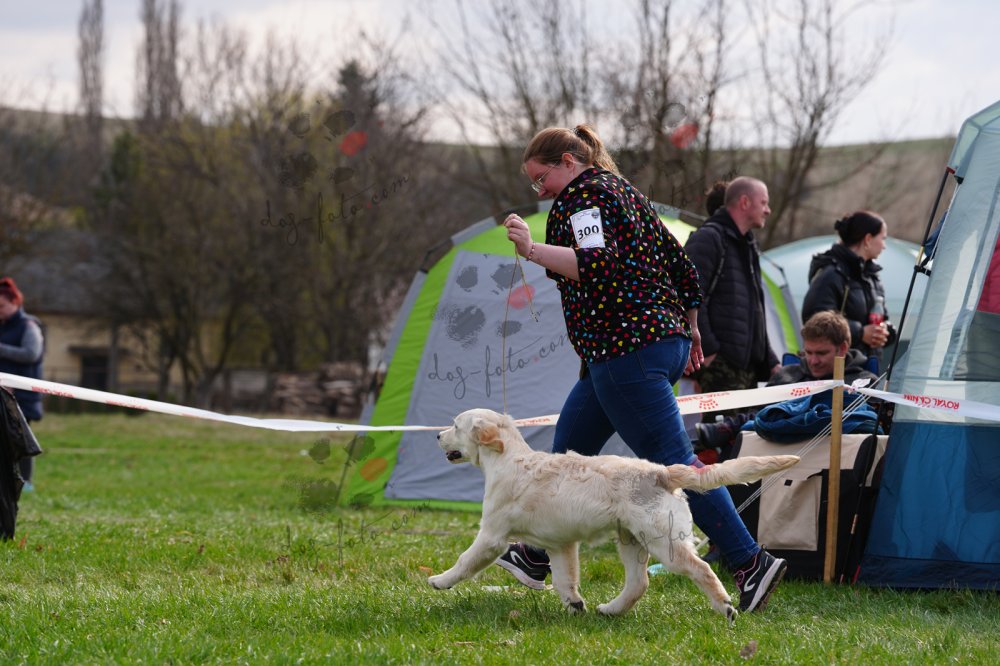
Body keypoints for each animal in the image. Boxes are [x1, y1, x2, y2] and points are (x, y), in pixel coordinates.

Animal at [427, 408, 799, 622]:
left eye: (455, 425)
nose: (437, 435)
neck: (507, 459)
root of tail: (661, 472)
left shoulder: (492, 534)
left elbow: (465, 560)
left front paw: (440, 580)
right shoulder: (561, 544)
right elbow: (564, 579)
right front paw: (575, 606)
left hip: (663, 542)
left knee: (701, 569)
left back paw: (726, 607)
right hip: (631, 539)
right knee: (639, 582)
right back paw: (610, 610)